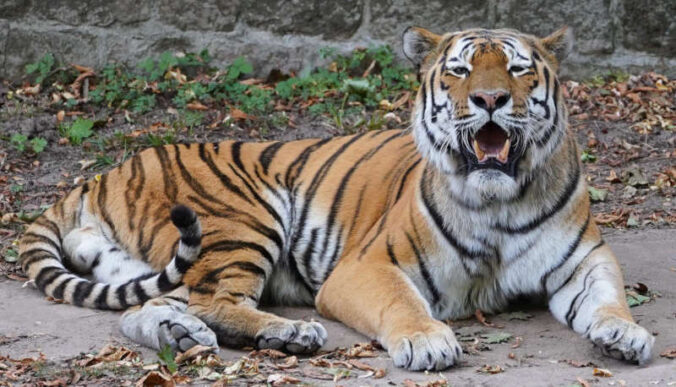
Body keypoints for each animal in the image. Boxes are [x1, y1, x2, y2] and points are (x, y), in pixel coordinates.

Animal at [19, 25, 656, 372]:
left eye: (520, 70)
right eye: (459, 71)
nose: (491, 100)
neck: (498, 201)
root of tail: (102, 173)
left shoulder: (585, 259)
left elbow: (609, 298)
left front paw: (626, 334)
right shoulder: (366, 267)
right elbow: (404, 304)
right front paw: (427, 341)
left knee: (146, 308)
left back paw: (184, 336)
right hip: (241, 218)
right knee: (212, 299)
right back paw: (289, 333)